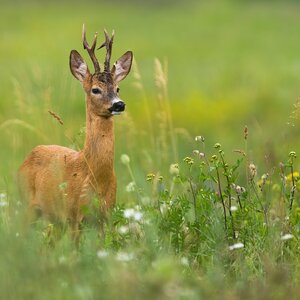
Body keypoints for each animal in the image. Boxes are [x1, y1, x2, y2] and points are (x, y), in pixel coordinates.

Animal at [17, 25, 132, 237]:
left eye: (118, 88)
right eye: (95, 89)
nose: (119, 104)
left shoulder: (105, 216)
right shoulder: (72, 215)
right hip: (26, 204)